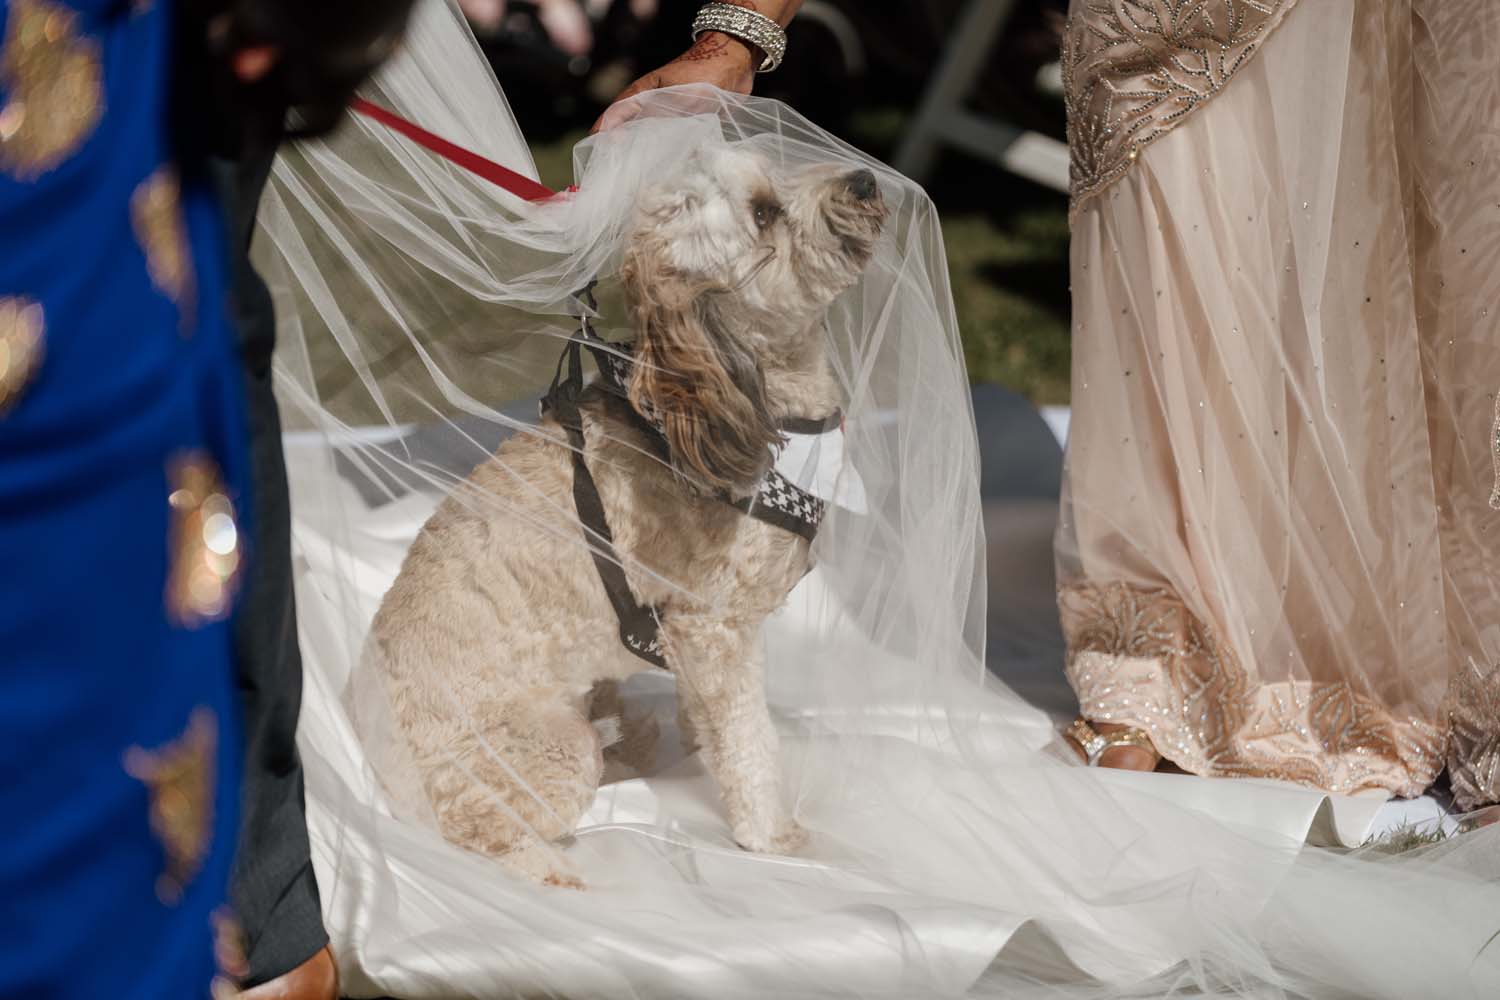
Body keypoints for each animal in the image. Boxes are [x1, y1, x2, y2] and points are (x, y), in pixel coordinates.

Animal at [364, 144, 888, 887]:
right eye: (764, 213)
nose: (866, 179)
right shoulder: (714, 629)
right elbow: (751, 742)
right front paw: (773, 836)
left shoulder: (694, 641)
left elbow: (711, 720)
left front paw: (698, 751)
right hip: (549, 749)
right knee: (482, 829)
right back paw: (559, 870)